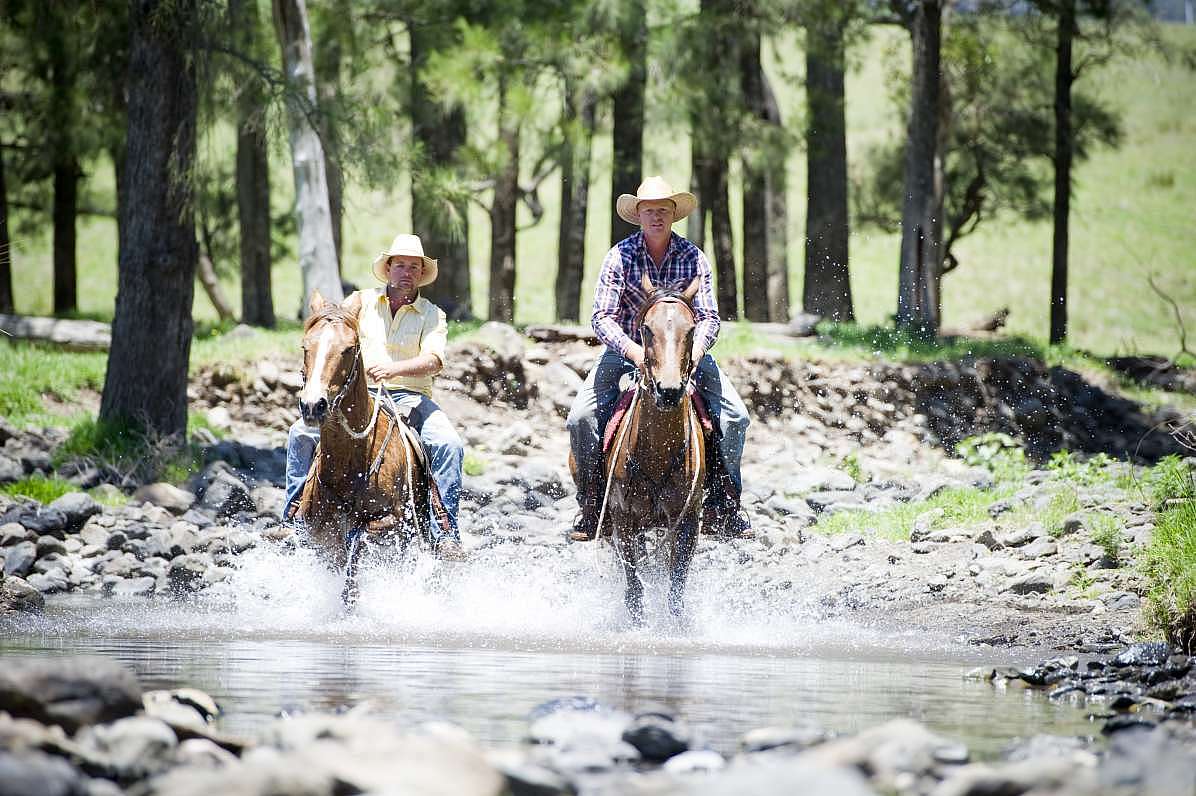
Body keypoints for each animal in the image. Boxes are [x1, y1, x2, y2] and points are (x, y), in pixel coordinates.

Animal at [593, 272, 703, 621]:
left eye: (691, 329)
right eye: (645, 329)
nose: (668, 391)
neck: (657, 455)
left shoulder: (686, 522)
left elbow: (675, 587)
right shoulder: (623, 519)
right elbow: (633, 585)